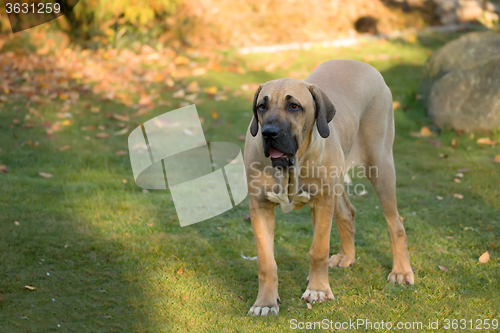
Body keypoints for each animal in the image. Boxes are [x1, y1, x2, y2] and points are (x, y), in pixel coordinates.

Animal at [243, 59, 414, 316]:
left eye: (294, 106)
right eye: (262, 106)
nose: (269, 133)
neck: (291, 166)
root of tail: (361, 63)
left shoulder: (322, 203)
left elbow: (319, 250)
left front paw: (318, 290)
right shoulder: (260, 206)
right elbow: (265, 261)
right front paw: (265, 302)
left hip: (381, 165)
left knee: (396, 224)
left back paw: (401, 271)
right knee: (348, 213)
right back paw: (346, 256)